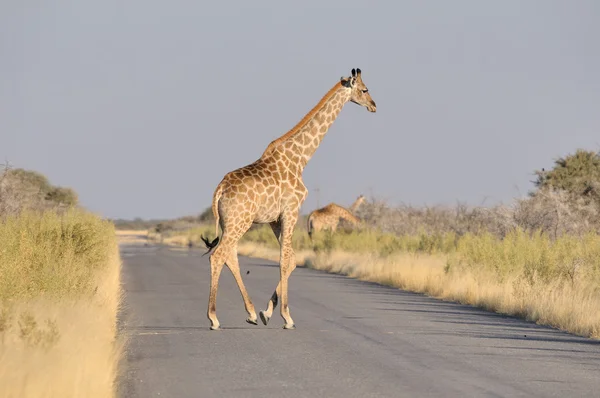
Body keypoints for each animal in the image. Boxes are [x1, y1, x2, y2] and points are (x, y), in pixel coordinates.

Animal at [202, 68, 378, 330]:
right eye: (364, 89)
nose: (374, 105)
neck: (300, 158)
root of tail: (220, 189)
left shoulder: (276, 218)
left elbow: (292, 259)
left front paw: (267, 312)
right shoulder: (291, 210)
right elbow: (285, 260)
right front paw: (287, 317)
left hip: (229, 223)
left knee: (230, 256)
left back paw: (251, 313)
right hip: (240, 221)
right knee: (218, 255)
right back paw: (214, 318)